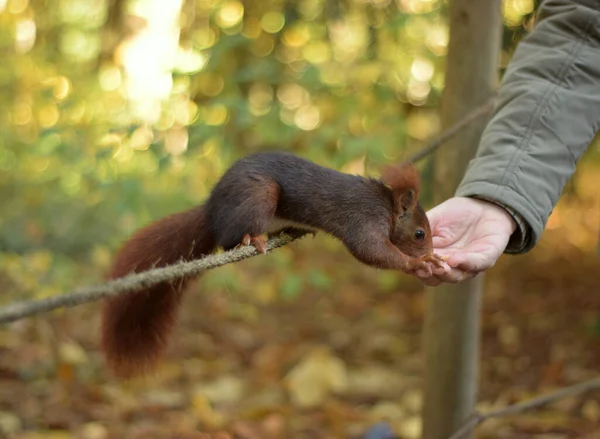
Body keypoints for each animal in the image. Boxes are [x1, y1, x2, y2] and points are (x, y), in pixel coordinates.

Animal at [99, 152, 446, 378]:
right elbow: (371, 251)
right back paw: (252, 238)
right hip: (259, 195)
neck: (387, 209)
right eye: (419, 233)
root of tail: (211, 209)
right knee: (229, 237)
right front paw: (418, 260)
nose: (429, 248)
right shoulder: (364, 221)